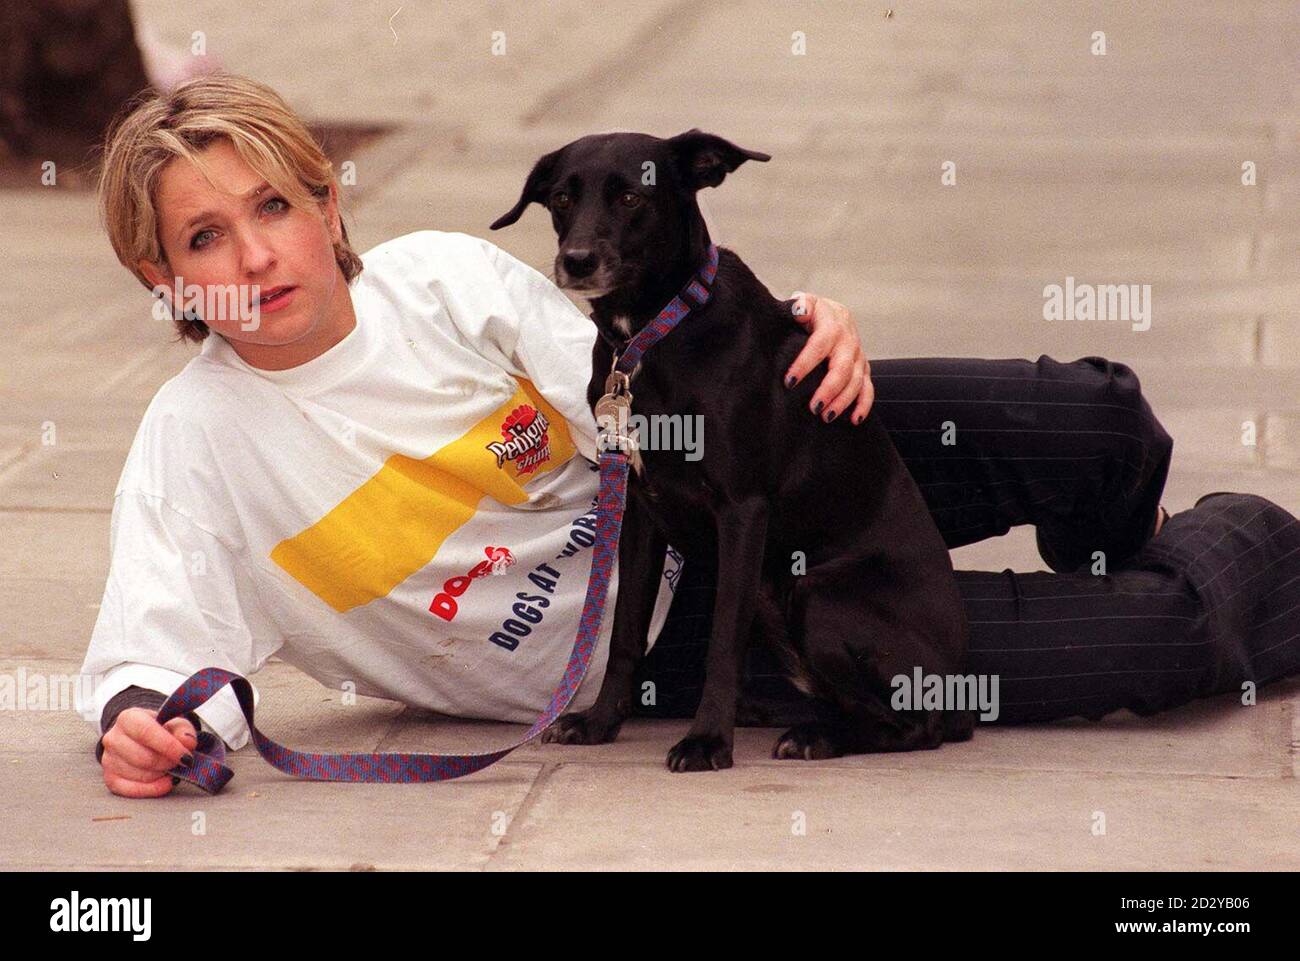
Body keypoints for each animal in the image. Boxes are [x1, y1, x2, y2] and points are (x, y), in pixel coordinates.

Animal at [491, 129, 972, 775]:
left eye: (632, 197)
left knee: (917, 725)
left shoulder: (742, 510)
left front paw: (707, 741)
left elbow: (722, 642)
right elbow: (624, 633)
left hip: (817, 592)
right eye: (564, 197)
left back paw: (816, 737)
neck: (654, 334)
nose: (578, 260)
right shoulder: (640, 510)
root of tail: (963, 681)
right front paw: (600, 722)